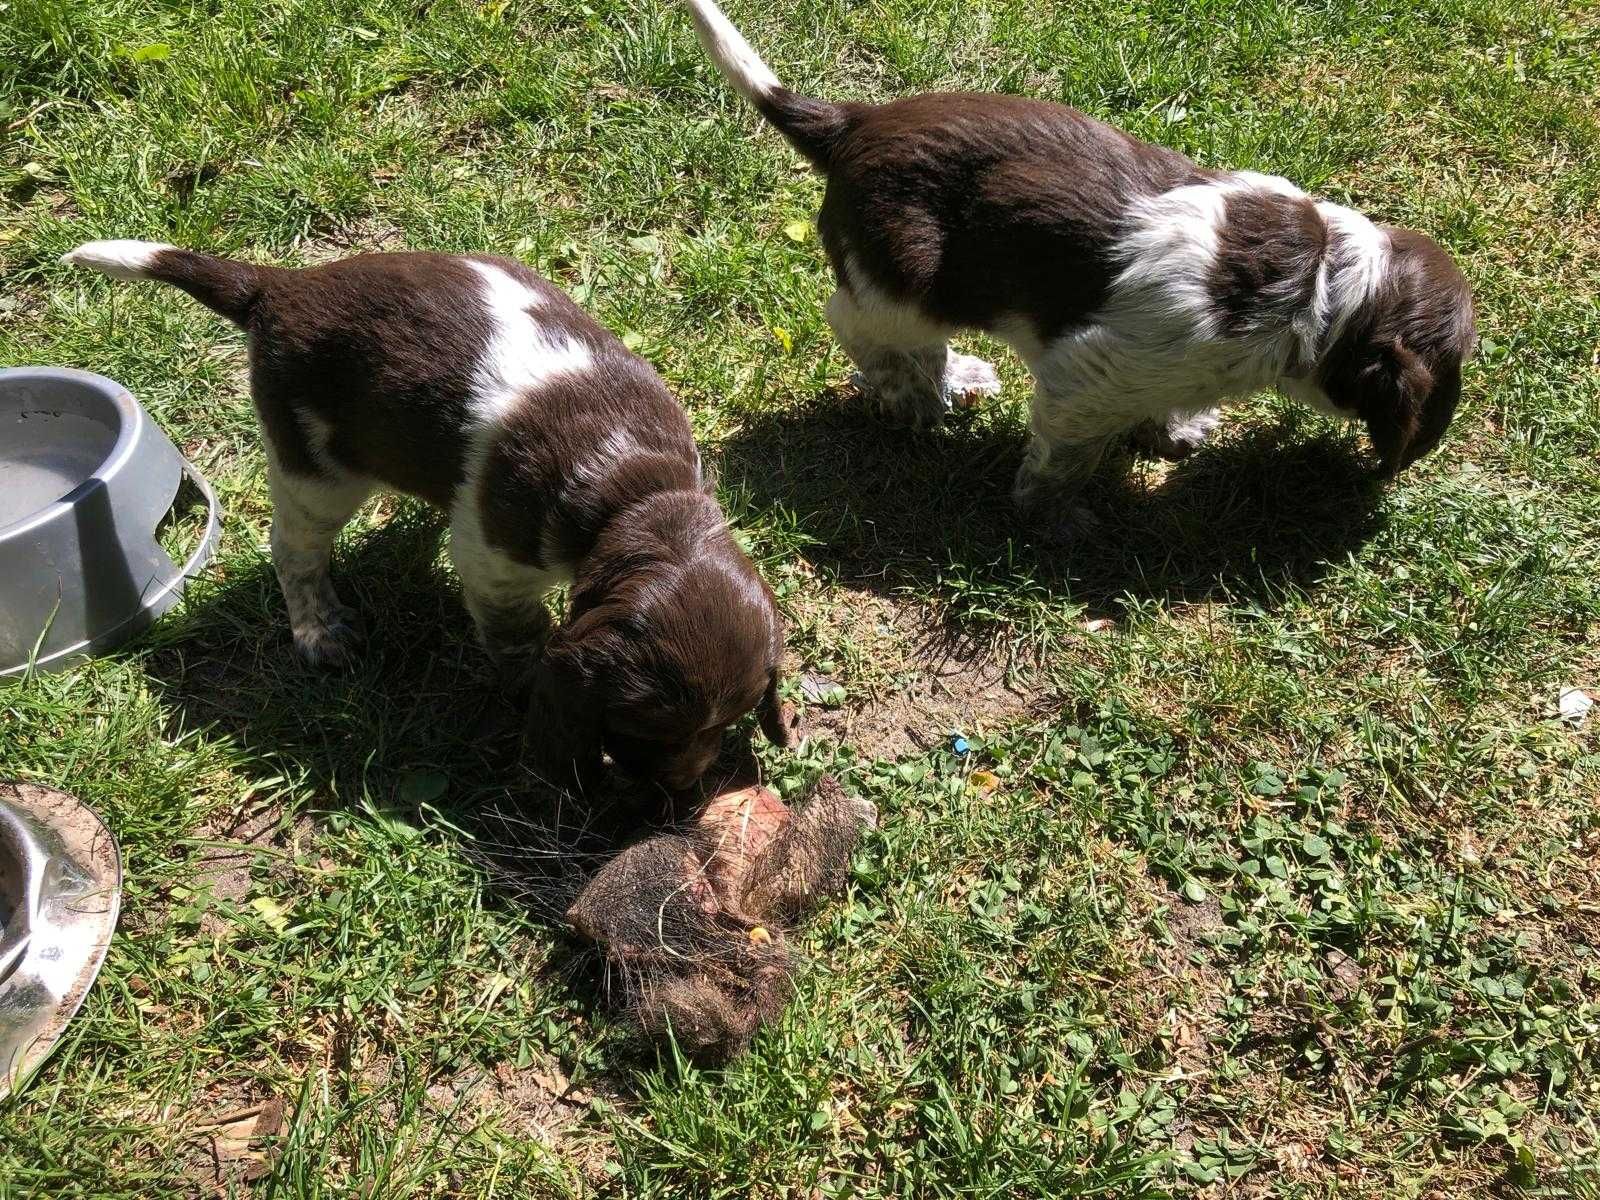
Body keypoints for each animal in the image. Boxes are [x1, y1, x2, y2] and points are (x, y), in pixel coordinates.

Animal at [62, 241, 800, 790]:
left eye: (726, 723)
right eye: (645, 730)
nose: (678, 792)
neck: (635, 487)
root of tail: (282, 287)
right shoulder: (496, 566)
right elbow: (521, 643)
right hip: (318, 470)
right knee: (294, 549)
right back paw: (319, 629)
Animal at [675, 0, 1472, 534]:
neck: (1324, 286)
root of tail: (852, 124)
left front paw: (1171, 430)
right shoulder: (1087, 376)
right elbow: (1065, 456)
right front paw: (1055, 519)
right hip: (910, 277)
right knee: (860, 322)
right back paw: (918, 393)